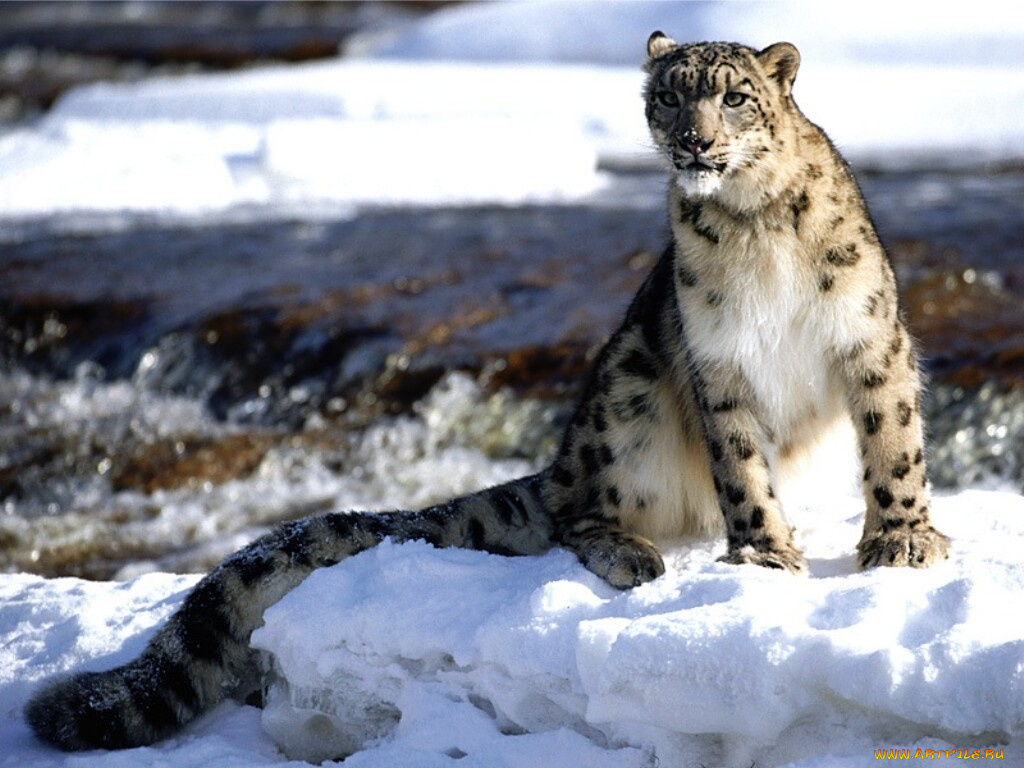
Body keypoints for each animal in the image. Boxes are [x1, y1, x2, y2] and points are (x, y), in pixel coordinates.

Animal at [25, 32, 950, 752]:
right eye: (669, 97)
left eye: (735, 96)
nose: (693, 141)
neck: (755, 228)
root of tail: (564, 461)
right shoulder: (716, 365)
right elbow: (741, 468)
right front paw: (763, 554)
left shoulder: (870, 337)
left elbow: (893, 440)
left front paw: (902, 539)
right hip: (627, 387)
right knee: (581, 512)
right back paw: (629, 550)